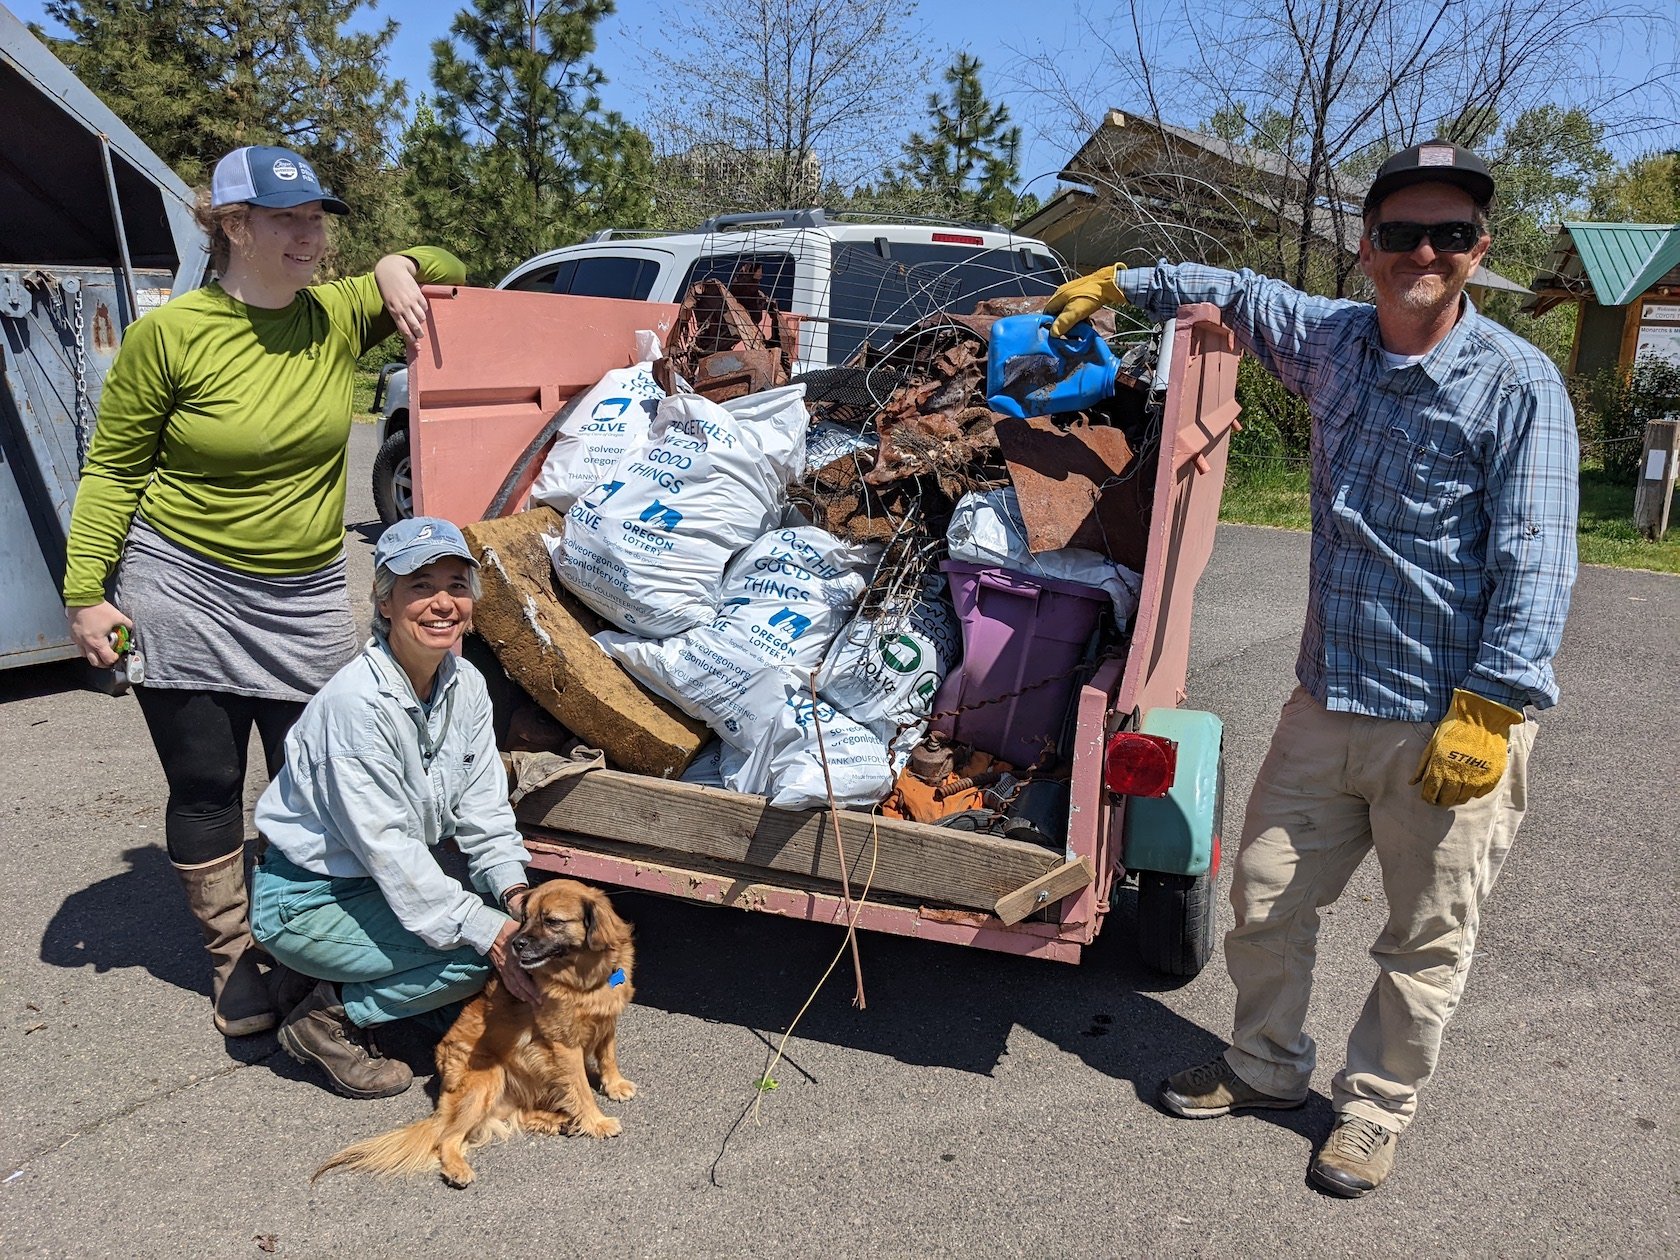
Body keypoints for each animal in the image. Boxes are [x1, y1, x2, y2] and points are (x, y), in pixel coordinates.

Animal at [314, 880, 635, 1189]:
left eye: (552, 921)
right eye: (526, 918)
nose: (515, 943)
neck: (585, 979)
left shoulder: (606, 1021)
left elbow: (608, 1056)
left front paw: (615, 1085)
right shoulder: (564, 1044)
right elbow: (580, 1089)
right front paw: (596, 1121)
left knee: (518, 1113)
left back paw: (558, 1120)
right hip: (487, 1079)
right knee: (446, 1138)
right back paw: (457, 1168)